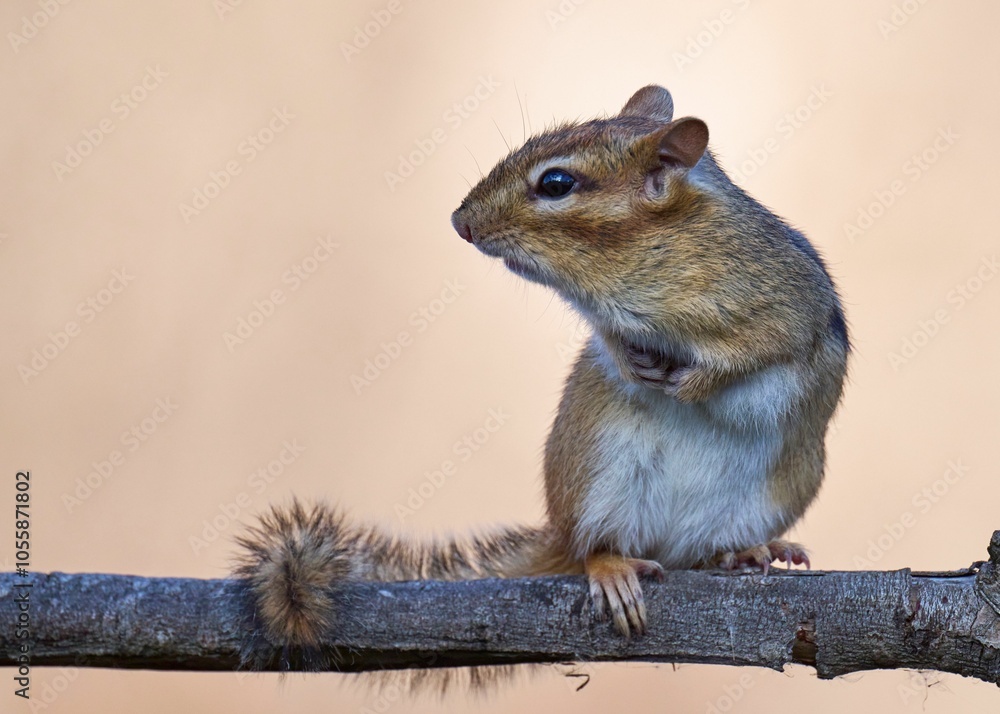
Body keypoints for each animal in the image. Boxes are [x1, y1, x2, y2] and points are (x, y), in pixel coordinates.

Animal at [235, 85, 849, 665]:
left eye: (556, 183)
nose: (460, 223)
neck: (645, 265)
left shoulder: (788, 303)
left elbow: (763, 348)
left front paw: (694, 382)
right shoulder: (608, 321)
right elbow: (610, 344)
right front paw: (631, 361)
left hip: (780, 485)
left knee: (701, 552)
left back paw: (746, 550)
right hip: (597, 472)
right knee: (590, 548)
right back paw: (613, 567)